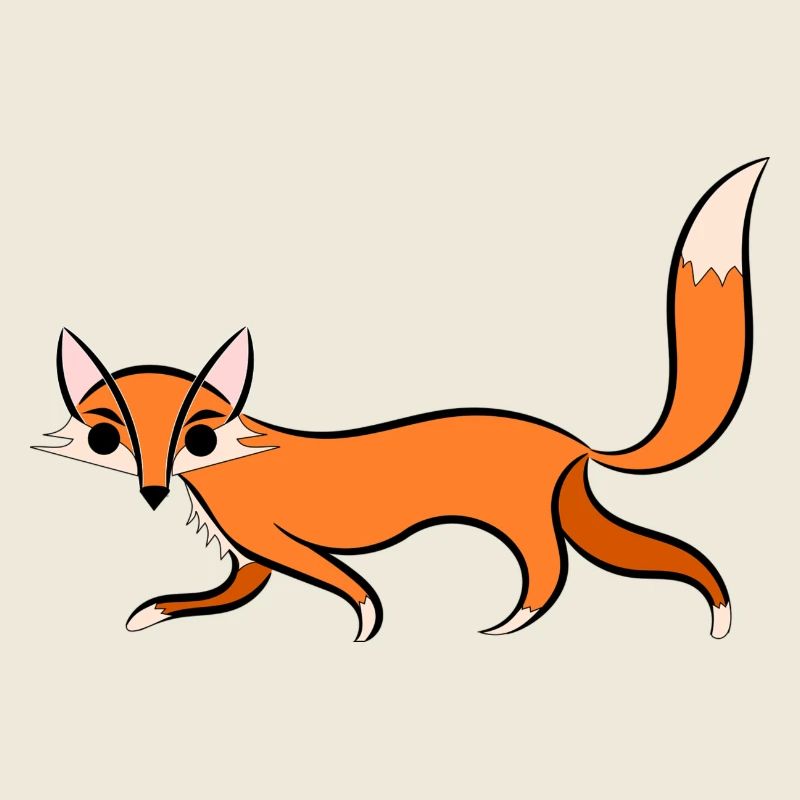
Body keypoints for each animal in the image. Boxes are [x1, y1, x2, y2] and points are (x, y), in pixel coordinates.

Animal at [35, 159, 765, 641]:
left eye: (198, 437)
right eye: (106, 439)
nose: (153, 492)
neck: (229, 465)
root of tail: (574, 443)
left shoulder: (272, 539)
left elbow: (346, 585)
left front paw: (365, 619)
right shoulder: (249, 559)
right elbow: (220, 594)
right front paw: (154, 612)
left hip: (527, 521)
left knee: (552, 571)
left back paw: (511, 623)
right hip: (576, 512)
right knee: (664, 556)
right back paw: (717, 611)